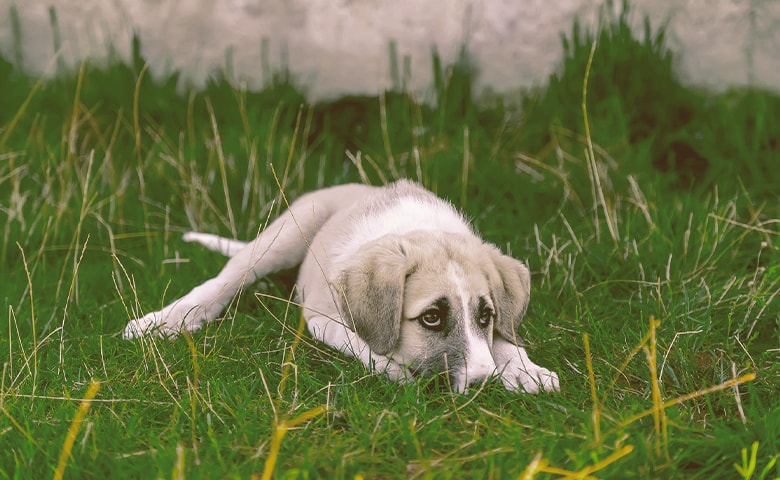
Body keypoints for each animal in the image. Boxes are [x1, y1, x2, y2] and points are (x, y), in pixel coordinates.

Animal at [122, 180, 560, 394]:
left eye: (486, 315)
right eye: (432, 318)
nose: (484, 384)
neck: (417, 229)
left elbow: (503, 338)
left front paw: (525, 369)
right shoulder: (321, 317)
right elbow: (364, 344)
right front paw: (394, 370)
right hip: (286, 233)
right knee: (225, 279)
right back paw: (166, 321)